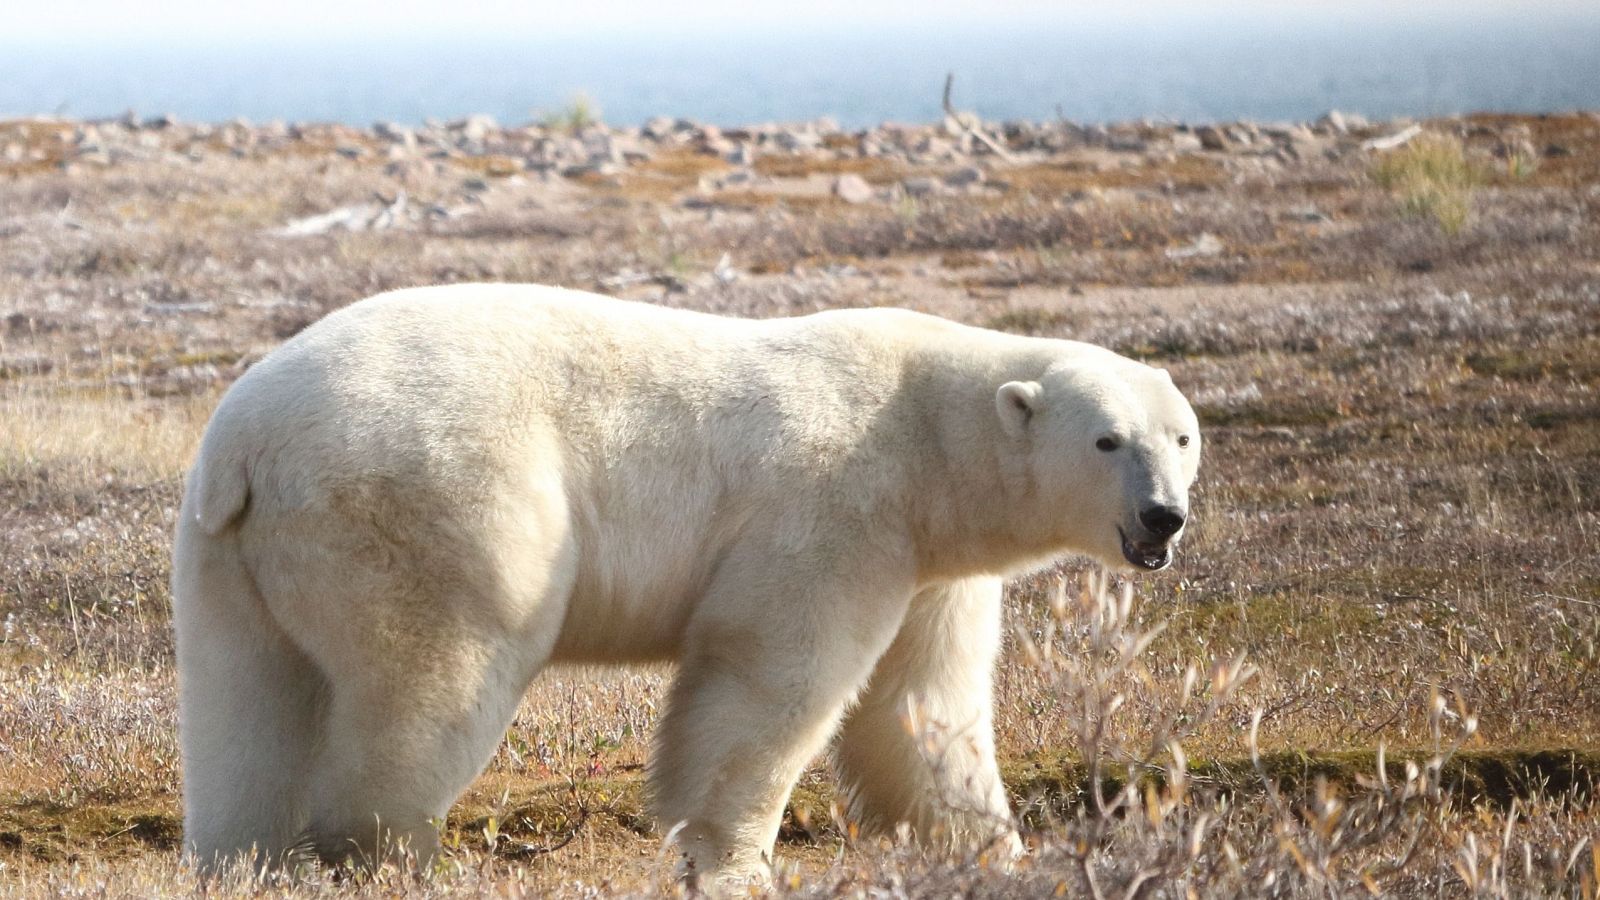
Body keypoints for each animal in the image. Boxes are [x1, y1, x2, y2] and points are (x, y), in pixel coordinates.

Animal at [175, 281, 1203, 883]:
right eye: (1107, 439)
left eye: (1182, 436)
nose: (1164, 517)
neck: (924, 435)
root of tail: (249, 443)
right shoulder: (836, 509)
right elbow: (772, 678)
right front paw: (731, 861)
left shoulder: (931, 564)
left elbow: (921, 704)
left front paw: (990, 848)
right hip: (431, 503)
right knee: (435, 673)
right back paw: (396, 853)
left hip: (230, 555)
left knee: (247, 704)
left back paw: (244, 859)